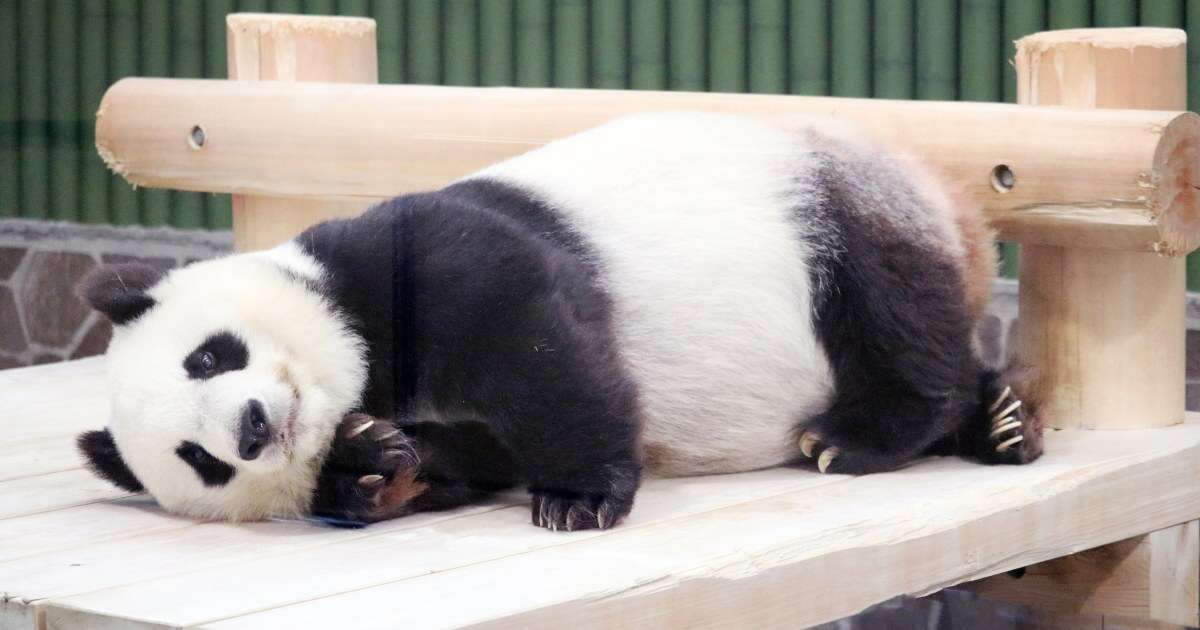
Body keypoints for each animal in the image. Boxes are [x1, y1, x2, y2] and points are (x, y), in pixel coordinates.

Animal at [75, 112, 1041, 530]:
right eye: (198, 460)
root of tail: (954, 201)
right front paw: (372, 463)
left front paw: (578, 496)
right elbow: (462, 463)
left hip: (832, 206)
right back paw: (998, 424)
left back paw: (864, 435)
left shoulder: (423, 256)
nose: (250, 426)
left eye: (208, 357)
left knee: (890, 309)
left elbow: (536, 342)